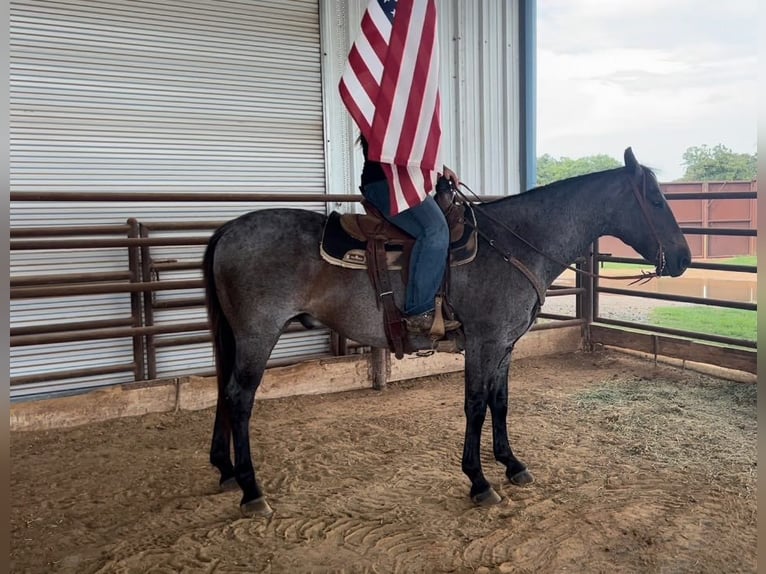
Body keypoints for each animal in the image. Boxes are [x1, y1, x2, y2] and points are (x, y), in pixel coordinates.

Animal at [201, 147, 692, 516]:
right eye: (655, 201)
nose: (685, 258)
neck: (513, 244)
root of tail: (227, 229)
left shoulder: (505, 346)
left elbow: (500, 402)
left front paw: (511, 464)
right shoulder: (483, 342)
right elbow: (475, 405)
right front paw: (478, 481)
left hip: (236, 337)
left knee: (224, 392)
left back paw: (225, 470)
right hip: (258, 335)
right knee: (240, 399)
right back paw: (252, 489)